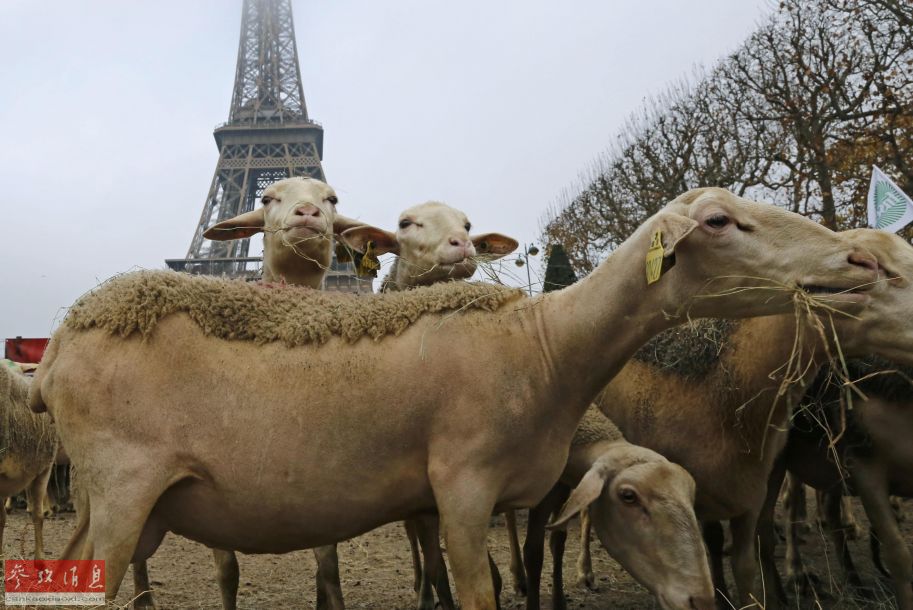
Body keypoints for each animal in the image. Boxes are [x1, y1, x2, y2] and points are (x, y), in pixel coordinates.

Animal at [32, 188, 880, 604]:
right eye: (718, 221)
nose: (859, 258)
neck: (545, 344)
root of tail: (66, 333)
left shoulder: (470, 504)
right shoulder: (464, 490)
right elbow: (479, 594)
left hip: (119, 501)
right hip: (121, 487)